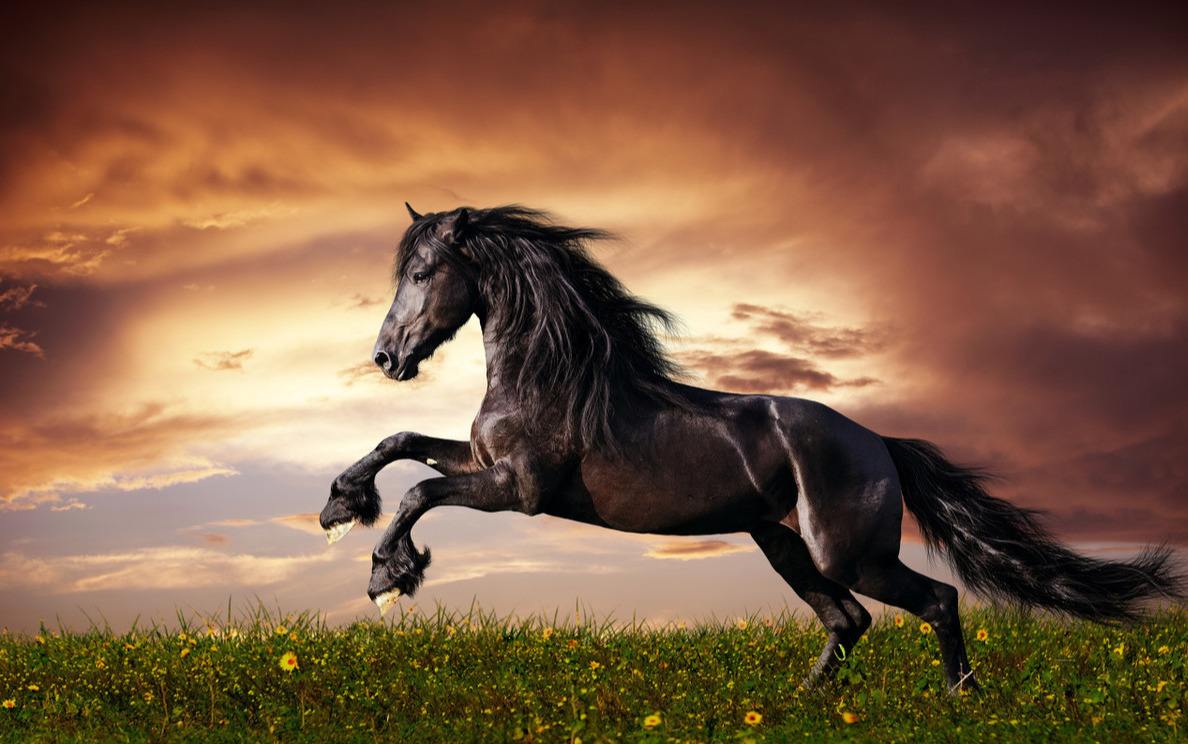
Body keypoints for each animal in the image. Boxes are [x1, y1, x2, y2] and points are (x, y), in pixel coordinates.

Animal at [319, 204, 1182, 691]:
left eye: (424, 273)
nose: (387, 358)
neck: (552, 375)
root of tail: (880, 443)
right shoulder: (486, 465)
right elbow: (402, 443)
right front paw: (339, 506)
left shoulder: (519, 490)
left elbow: (419, 491)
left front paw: (388, 574)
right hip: (783, 544)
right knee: (847, 622)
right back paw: (802, 705)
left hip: (847, 552)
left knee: (932, 600)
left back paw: (959, 699)